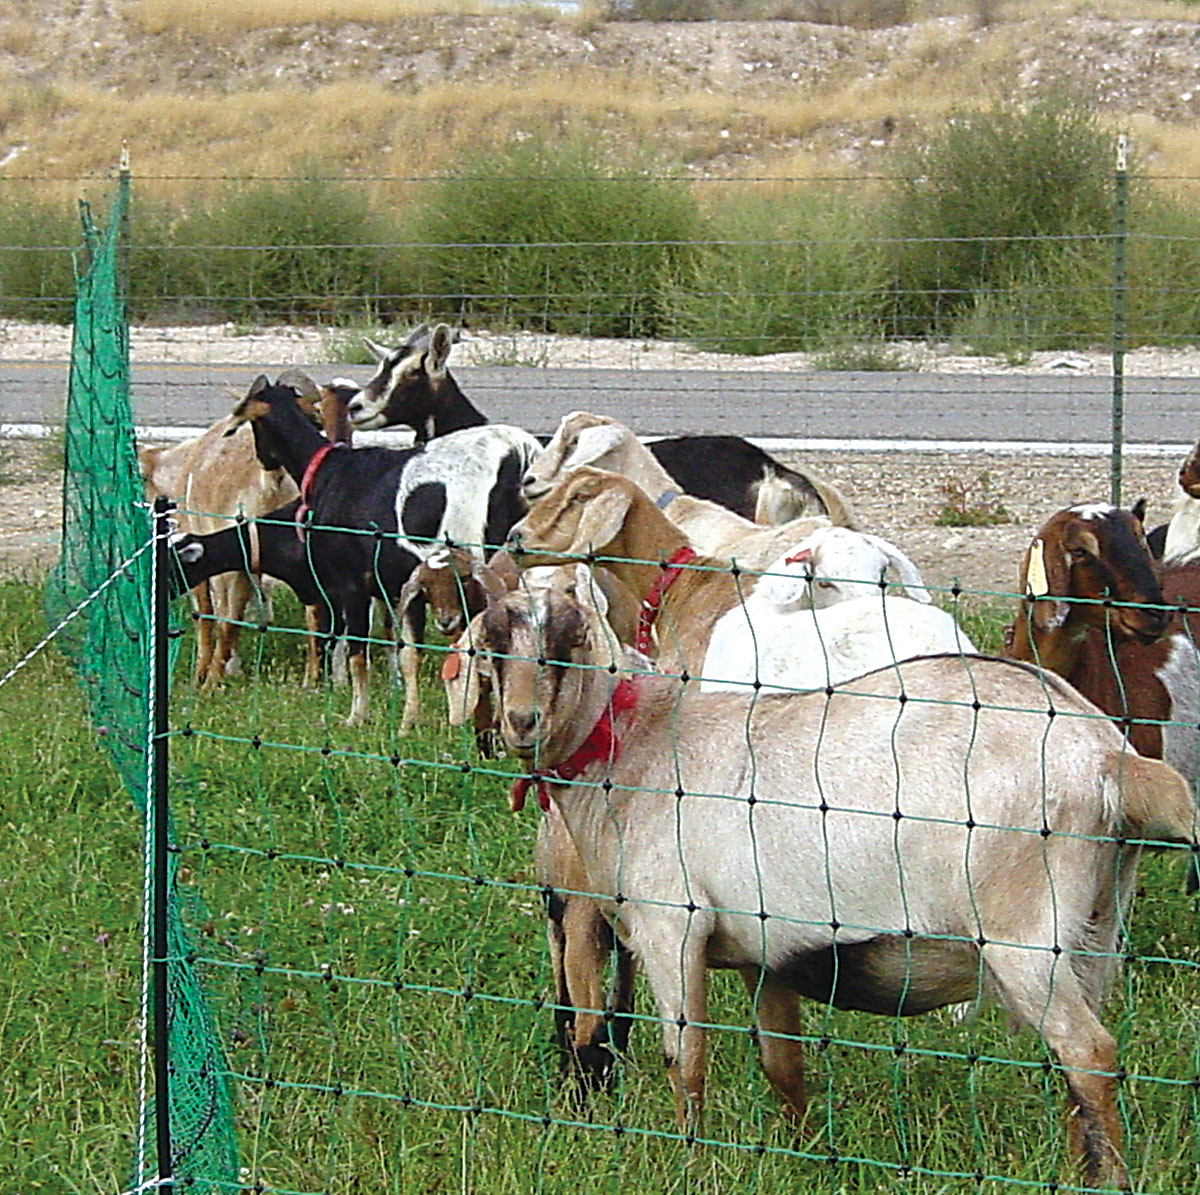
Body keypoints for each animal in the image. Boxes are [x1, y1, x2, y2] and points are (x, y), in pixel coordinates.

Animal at [169, 376, 540, 729]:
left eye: (253, 426)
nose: (264, 460)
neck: (328, 471)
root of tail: (519, 454)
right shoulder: (402, 587)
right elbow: (406, 653)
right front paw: (408, 720)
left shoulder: (349, 584)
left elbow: (356, 651)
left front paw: (357, 715)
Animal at [475, 575, 1190, 1185]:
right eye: (493, 649)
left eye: (568, 644)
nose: (521, 724)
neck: (635, 747)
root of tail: (1109, 759)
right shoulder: (763, 951)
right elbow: (782, 1063)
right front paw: (804, 1155)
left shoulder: (670, 927)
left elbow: (687, 1057)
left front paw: (691, 1164)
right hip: (1096, 928)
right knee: (1074, 1064)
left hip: (1026, 932)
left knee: (1090, 1054)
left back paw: (1107, 1179)